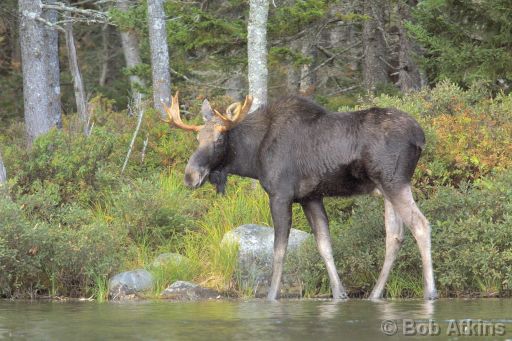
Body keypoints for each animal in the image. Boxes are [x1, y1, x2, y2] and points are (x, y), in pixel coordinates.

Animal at [163, 91, 436, 298]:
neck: (252, 158)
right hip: (386, 189)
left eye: (220, 139)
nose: (190, 176)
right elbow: (324, 245)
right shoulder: (310, 197)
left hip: (395, 181)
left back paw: (430, 292)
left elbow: (279, 249)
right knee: (395, 236)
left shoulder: (280, 194)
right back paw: (375, 294)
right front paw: (340, 294)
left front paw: (272, 296)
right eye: (198, 138)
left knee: (421, 225)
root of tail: (420, 137)